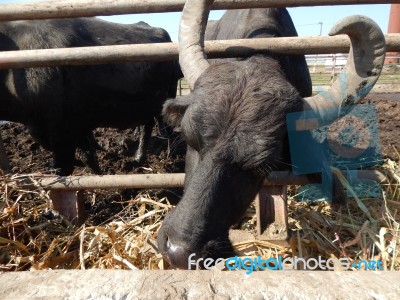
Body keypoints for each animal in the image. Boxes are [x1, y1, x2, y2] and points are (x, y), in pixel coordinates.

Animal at [0, 16, 181, 175]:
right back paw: (138, 158)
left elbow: (61, 168)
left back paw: (170, 155)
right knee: (147, 124)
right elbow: (87, 153)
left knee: (165, 126)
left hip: (169, 92)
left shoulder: (62, 130)